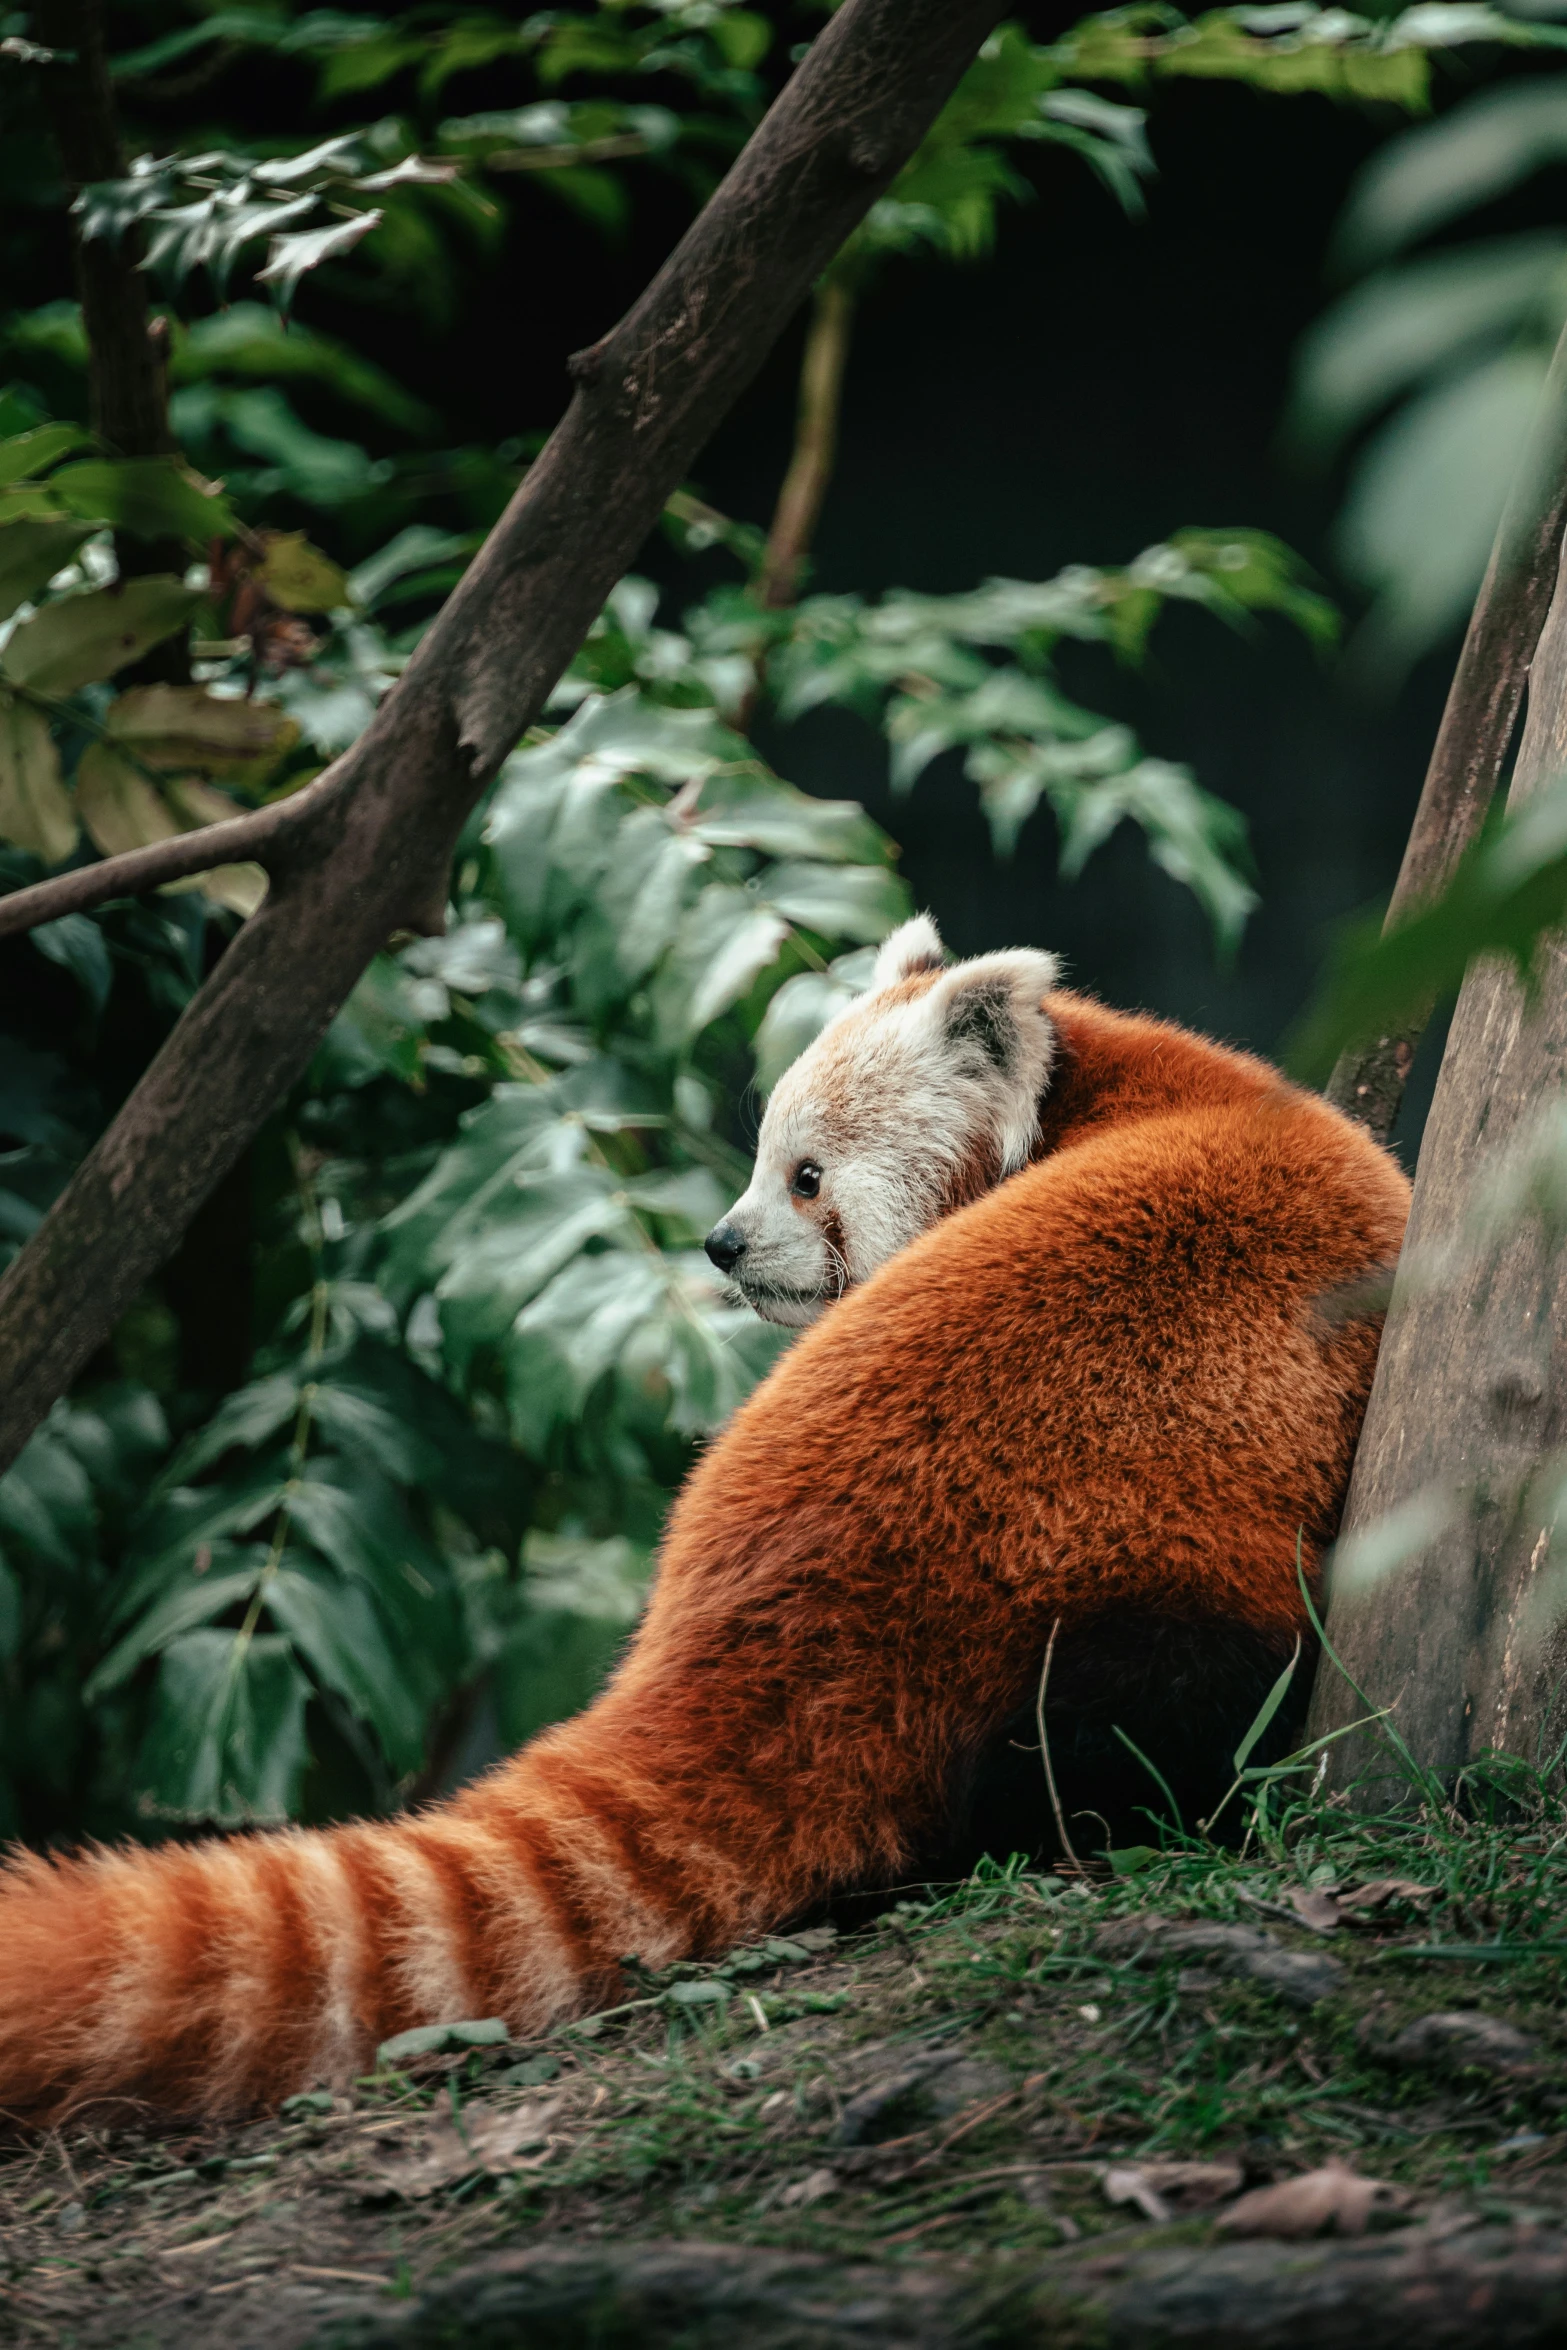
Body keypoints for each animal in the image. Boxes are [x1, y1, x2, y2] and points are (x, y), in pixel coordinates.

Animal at [0, 925, 1409, 2124]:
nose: (723, 1245)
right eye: (762, 1163)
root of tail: (742, 1614)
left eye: (805, 1175)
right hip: (1117, 1552)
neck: (1104, 1082)